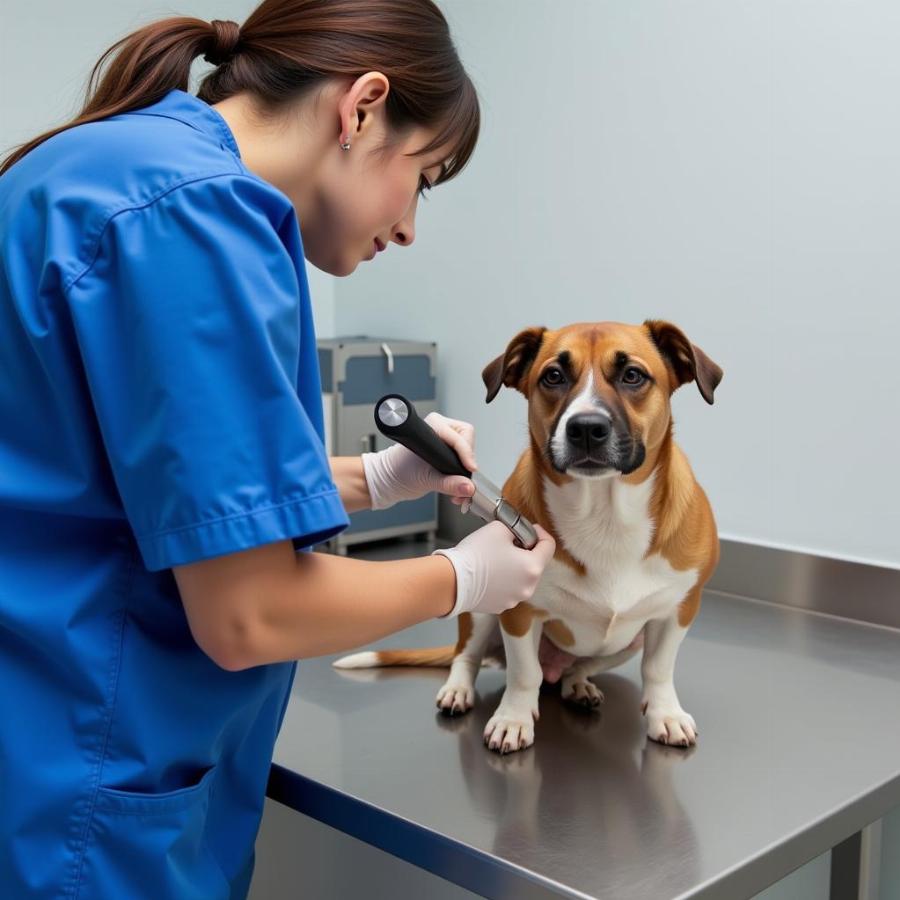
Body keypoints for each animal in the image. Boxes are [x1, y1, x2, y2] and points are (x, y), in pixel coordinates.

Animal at [336, 322, 724, 752]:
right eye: (553, 376)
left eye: (633, 375)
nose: (586, 428)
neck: (603, 514)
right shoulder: (518, 610)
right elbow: (524, 673)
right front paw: (513, 719)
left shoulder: (679, 609)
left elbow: (658, 668)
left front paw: (665, 714)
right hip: (480, 612)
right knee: (467, 657)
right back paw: (459, 690)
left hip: (626, 642)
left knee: (579, 666)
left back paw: (577, 684)